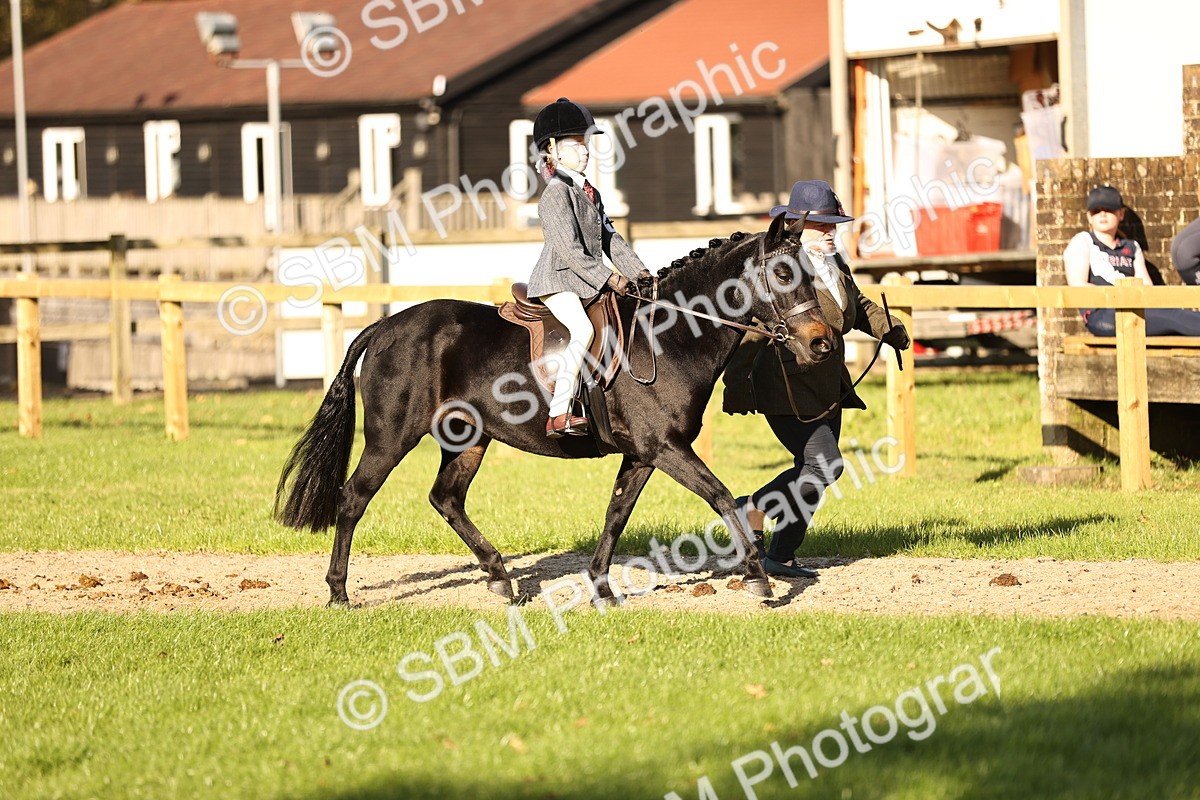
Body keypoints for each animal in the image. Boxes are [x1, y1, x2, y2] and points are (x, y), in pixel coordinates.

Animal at [274, 213, 834, 606]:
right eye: (782, 273)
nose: (821, 343)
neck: (668, 335)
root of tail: (386, 326)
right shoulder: (665, 447)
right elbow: (721, 497)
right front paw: (758, 578)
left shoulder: (642, 455)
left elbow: (616, 514)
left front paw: (601, 587)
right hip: (392, 437)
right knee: (353, 499)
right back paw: (339, 592)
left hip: (468, 439)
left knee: (445, 498)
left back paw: (500, 578)